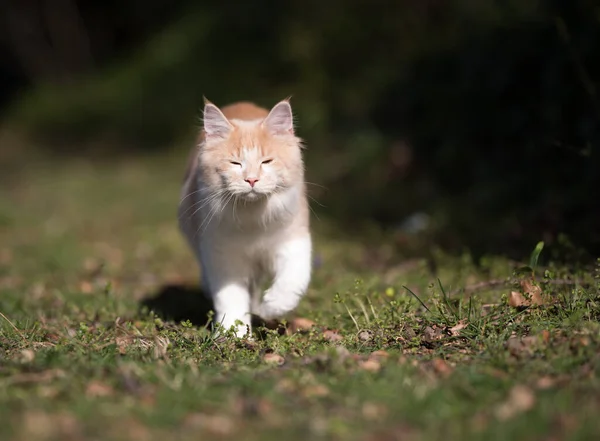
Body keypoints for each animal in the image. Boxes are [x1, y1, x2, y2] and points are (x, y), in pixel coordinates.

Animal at [177, 98, 310, 336]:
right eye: (235, 163)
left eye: (266, 161)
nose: (251, 180)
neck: (252, 218)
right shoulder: (222, 255)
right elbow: (230, 299)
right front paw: (233, 333)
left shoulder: (293, 242)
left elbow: (291, 284)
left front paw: (270, 308)